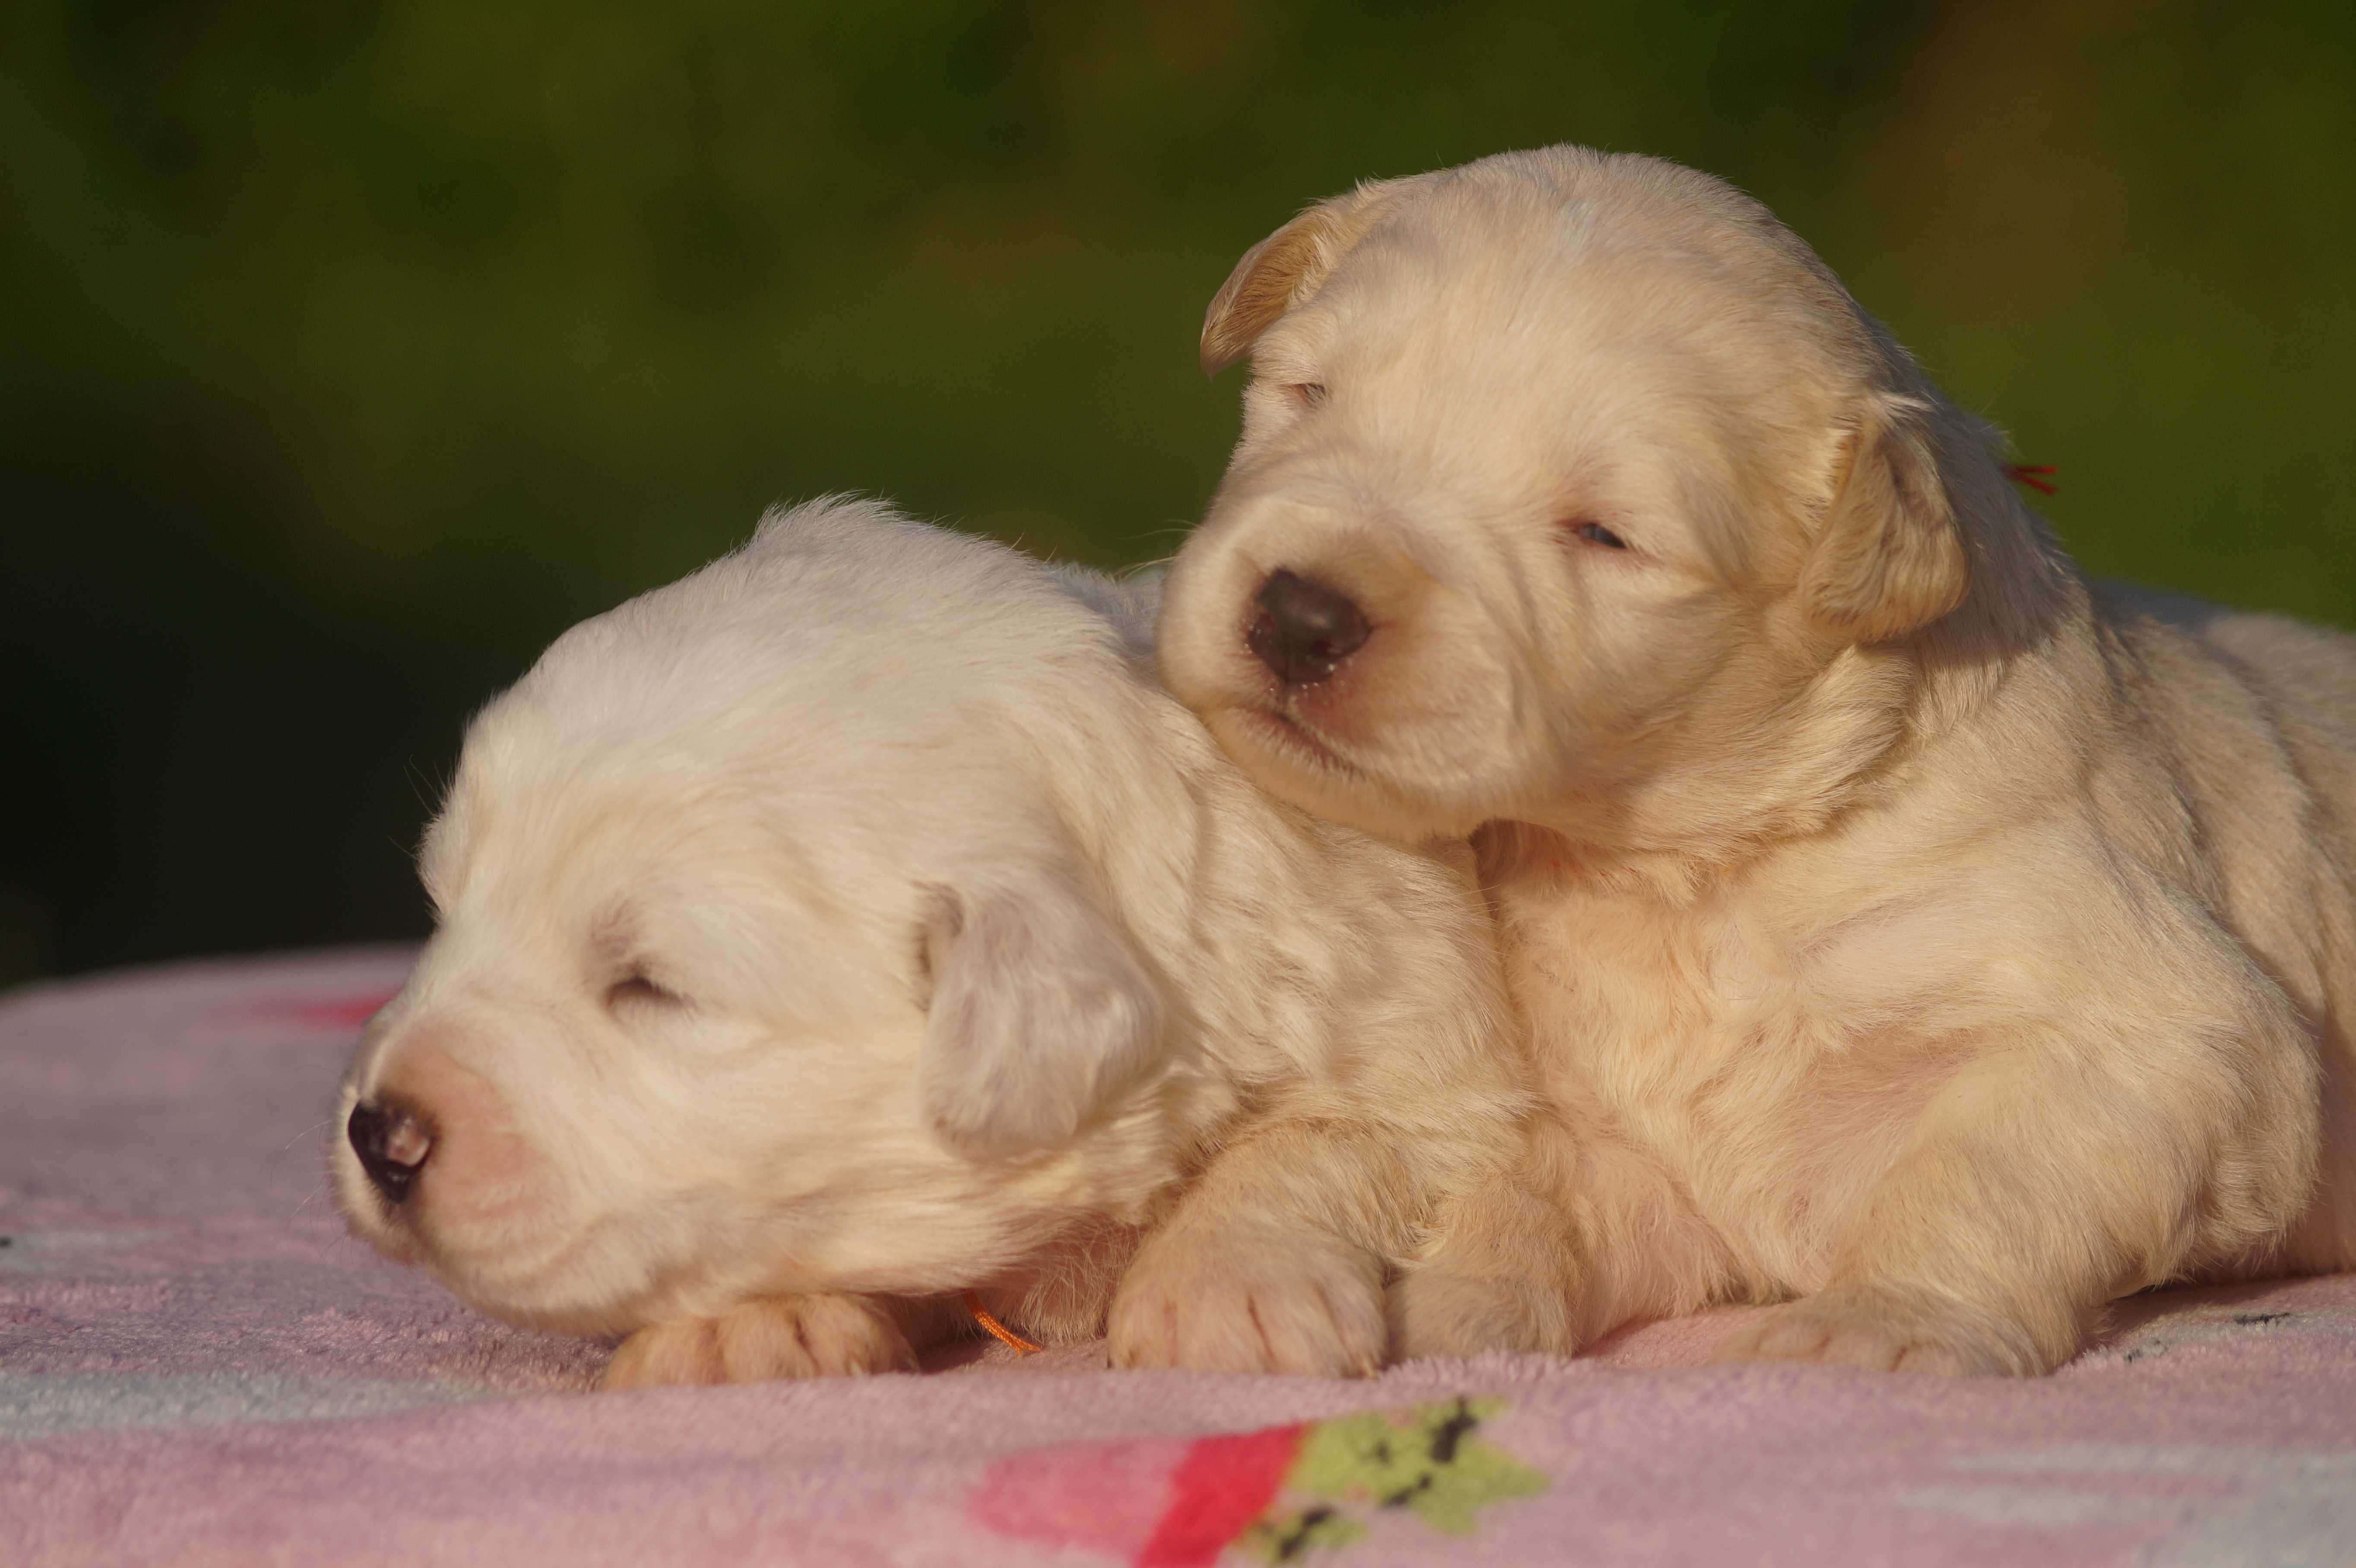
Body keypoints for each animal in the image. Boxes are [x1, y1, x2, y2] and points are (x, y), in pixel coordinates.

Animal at [327, 492, 1545, 1384]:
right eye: (446, 908)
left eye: (650, 986)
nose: (381, 1134)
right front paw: (740, 1324)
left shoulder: (1425, 1031)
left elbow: (1327, 1135)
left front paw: (1223, 1289)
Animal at [1159, 143, 2356, 1366]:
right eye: (1310, 394)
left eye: (1604, 534)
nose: (1299, 618)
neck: (1668, 867)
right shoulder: (1610, 1138)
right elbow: (1513, 1192)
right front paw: (1371, 1290)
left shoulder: (2147, 1014)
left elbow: (1988, 1169)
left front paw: (1871, 1326)